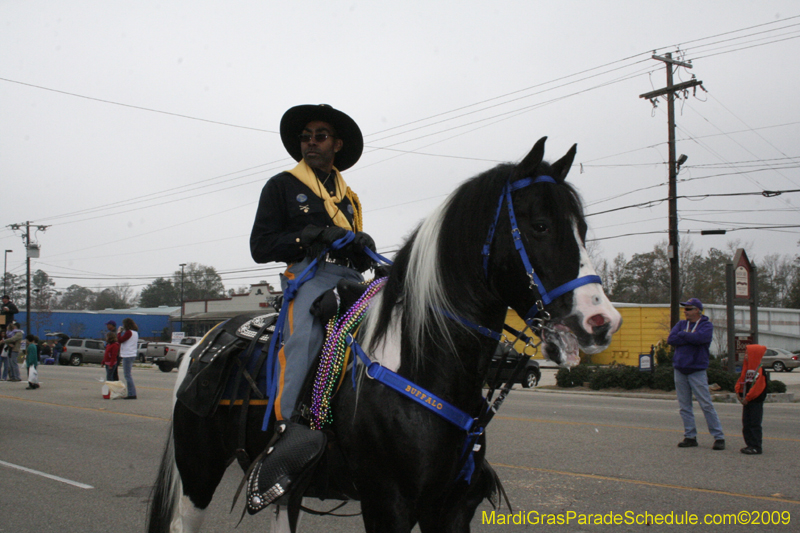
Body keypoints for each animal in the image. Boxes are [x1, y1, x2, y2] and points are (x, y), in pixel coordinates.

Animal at [148, 138, 624, 532]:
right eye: (540, 225)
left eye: (582, 229)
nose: (601, 321)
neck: (423, 361)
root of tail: (200, 346)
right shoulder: (387, 505)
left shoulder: (452, 507)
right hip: (198, 471)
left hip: (283, 487)